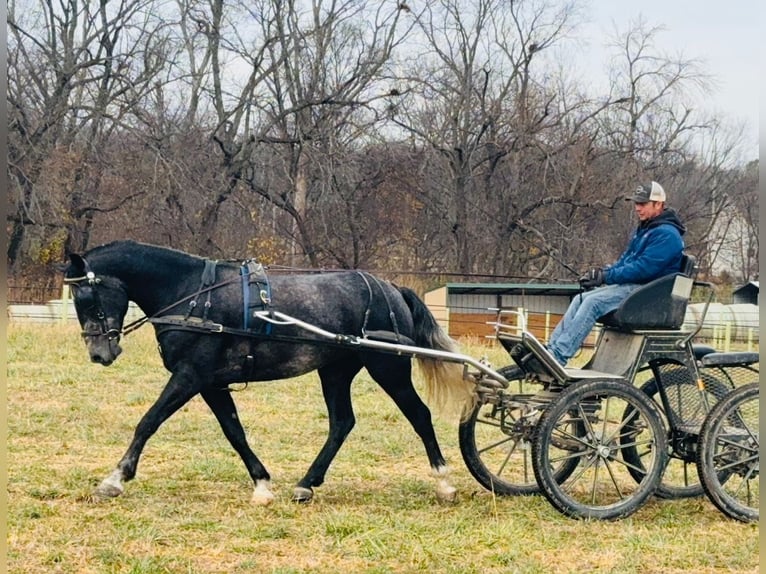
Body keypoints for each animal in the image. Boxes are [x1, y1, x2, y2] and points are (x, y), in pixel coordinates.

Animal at [62, 240, 476, 504]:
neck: (192, 295)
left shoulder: (189, 376)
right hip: (336, 371)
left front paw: (115, 479)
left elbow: (148, 421)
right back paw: (306, 484)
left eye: (87, 297)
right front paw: (261, 484)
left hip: (388, 367)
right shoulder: (211, 384)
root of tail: (391, 288)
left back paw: (444, 483)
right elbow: (234, 432)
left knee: (419, 415)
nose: (99, 353)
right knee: (342, 422)